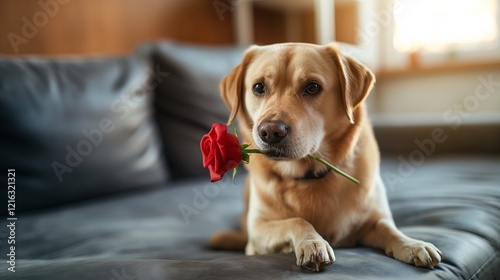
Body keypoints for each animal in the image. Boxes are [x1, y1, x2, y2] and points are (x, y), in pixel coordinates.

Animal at [209, 43, 444, 272]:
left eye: (312, 87)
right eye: (258, 87)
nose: (270, 132)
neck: (308, 176)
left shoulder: (372, 220)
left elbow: (388, 228)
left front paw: (412, 244)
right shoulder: (258, 231)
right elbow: (296, 221)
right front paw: (312, 242)